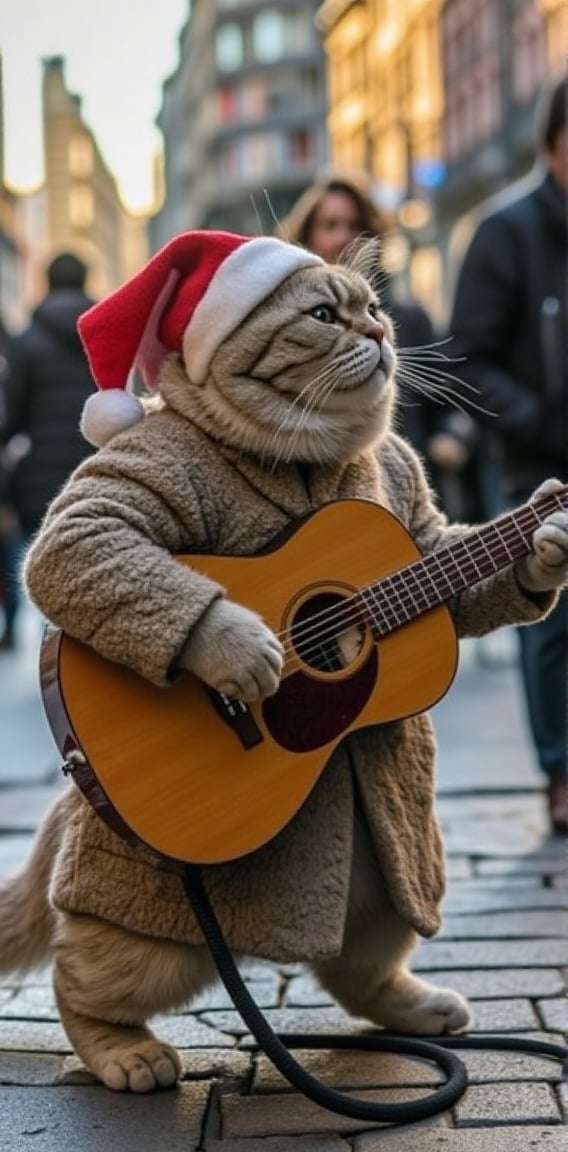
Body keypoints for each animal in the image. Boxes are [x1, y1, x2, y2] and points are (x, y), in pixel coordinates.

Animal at [1, 236, 566, 1087]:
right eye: (324, 316)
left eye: (373, 308)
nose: (380, 334)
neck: (307, 455)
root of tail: (77, 777)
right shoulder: (127, 478)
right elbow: (80, 534)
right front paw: (240, 651)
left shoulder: (421, 531)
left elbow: (450, 564)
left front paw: (544, 548)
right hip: (151, 932)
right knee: (89, 975)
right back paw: (120, 1047)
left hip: (385, 876)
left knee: (361, 954)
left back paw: (411, 1004)